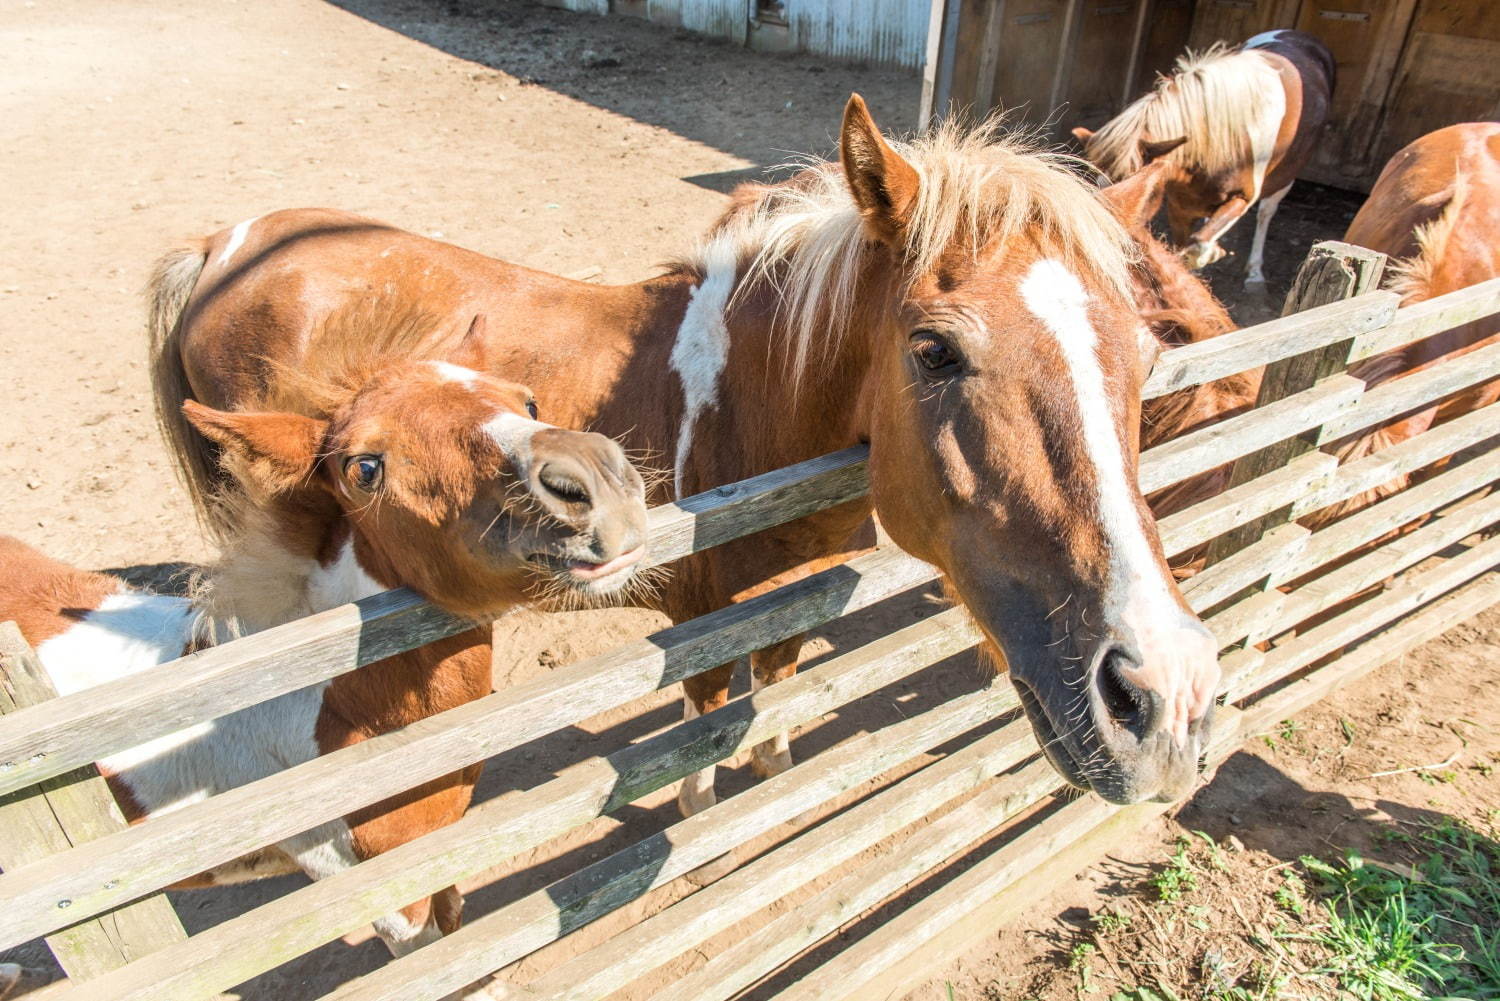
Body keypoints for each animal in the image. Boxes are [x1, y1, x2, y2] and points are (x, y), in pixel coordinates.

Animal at [0, 303, 645, 960]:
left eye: (530, 403)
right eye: (365, 468)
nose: (594, 480)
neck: (331, 710)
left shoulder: (440, 851)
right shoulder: (388, 896)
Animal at [143, 93, 1218, 810]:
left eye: (1146, 351)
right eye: (934, 349)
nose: (1163, 702)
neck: (754, 415)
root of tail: (222, 243)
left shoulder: (790, 605)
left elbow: (776, 700)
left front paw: (777, 776)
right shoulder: (702, 622)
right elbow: (701, 728)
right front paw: (706, 812)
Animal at [1074, 29, 1332, 285]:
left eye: (1144, 187)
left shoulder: (1242, 198)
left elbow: (1196, 247)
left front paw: (1210, 256)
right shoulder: (1180, 207)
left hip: (1284, 180)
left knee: (1265, 213)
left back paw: (1254, 273)